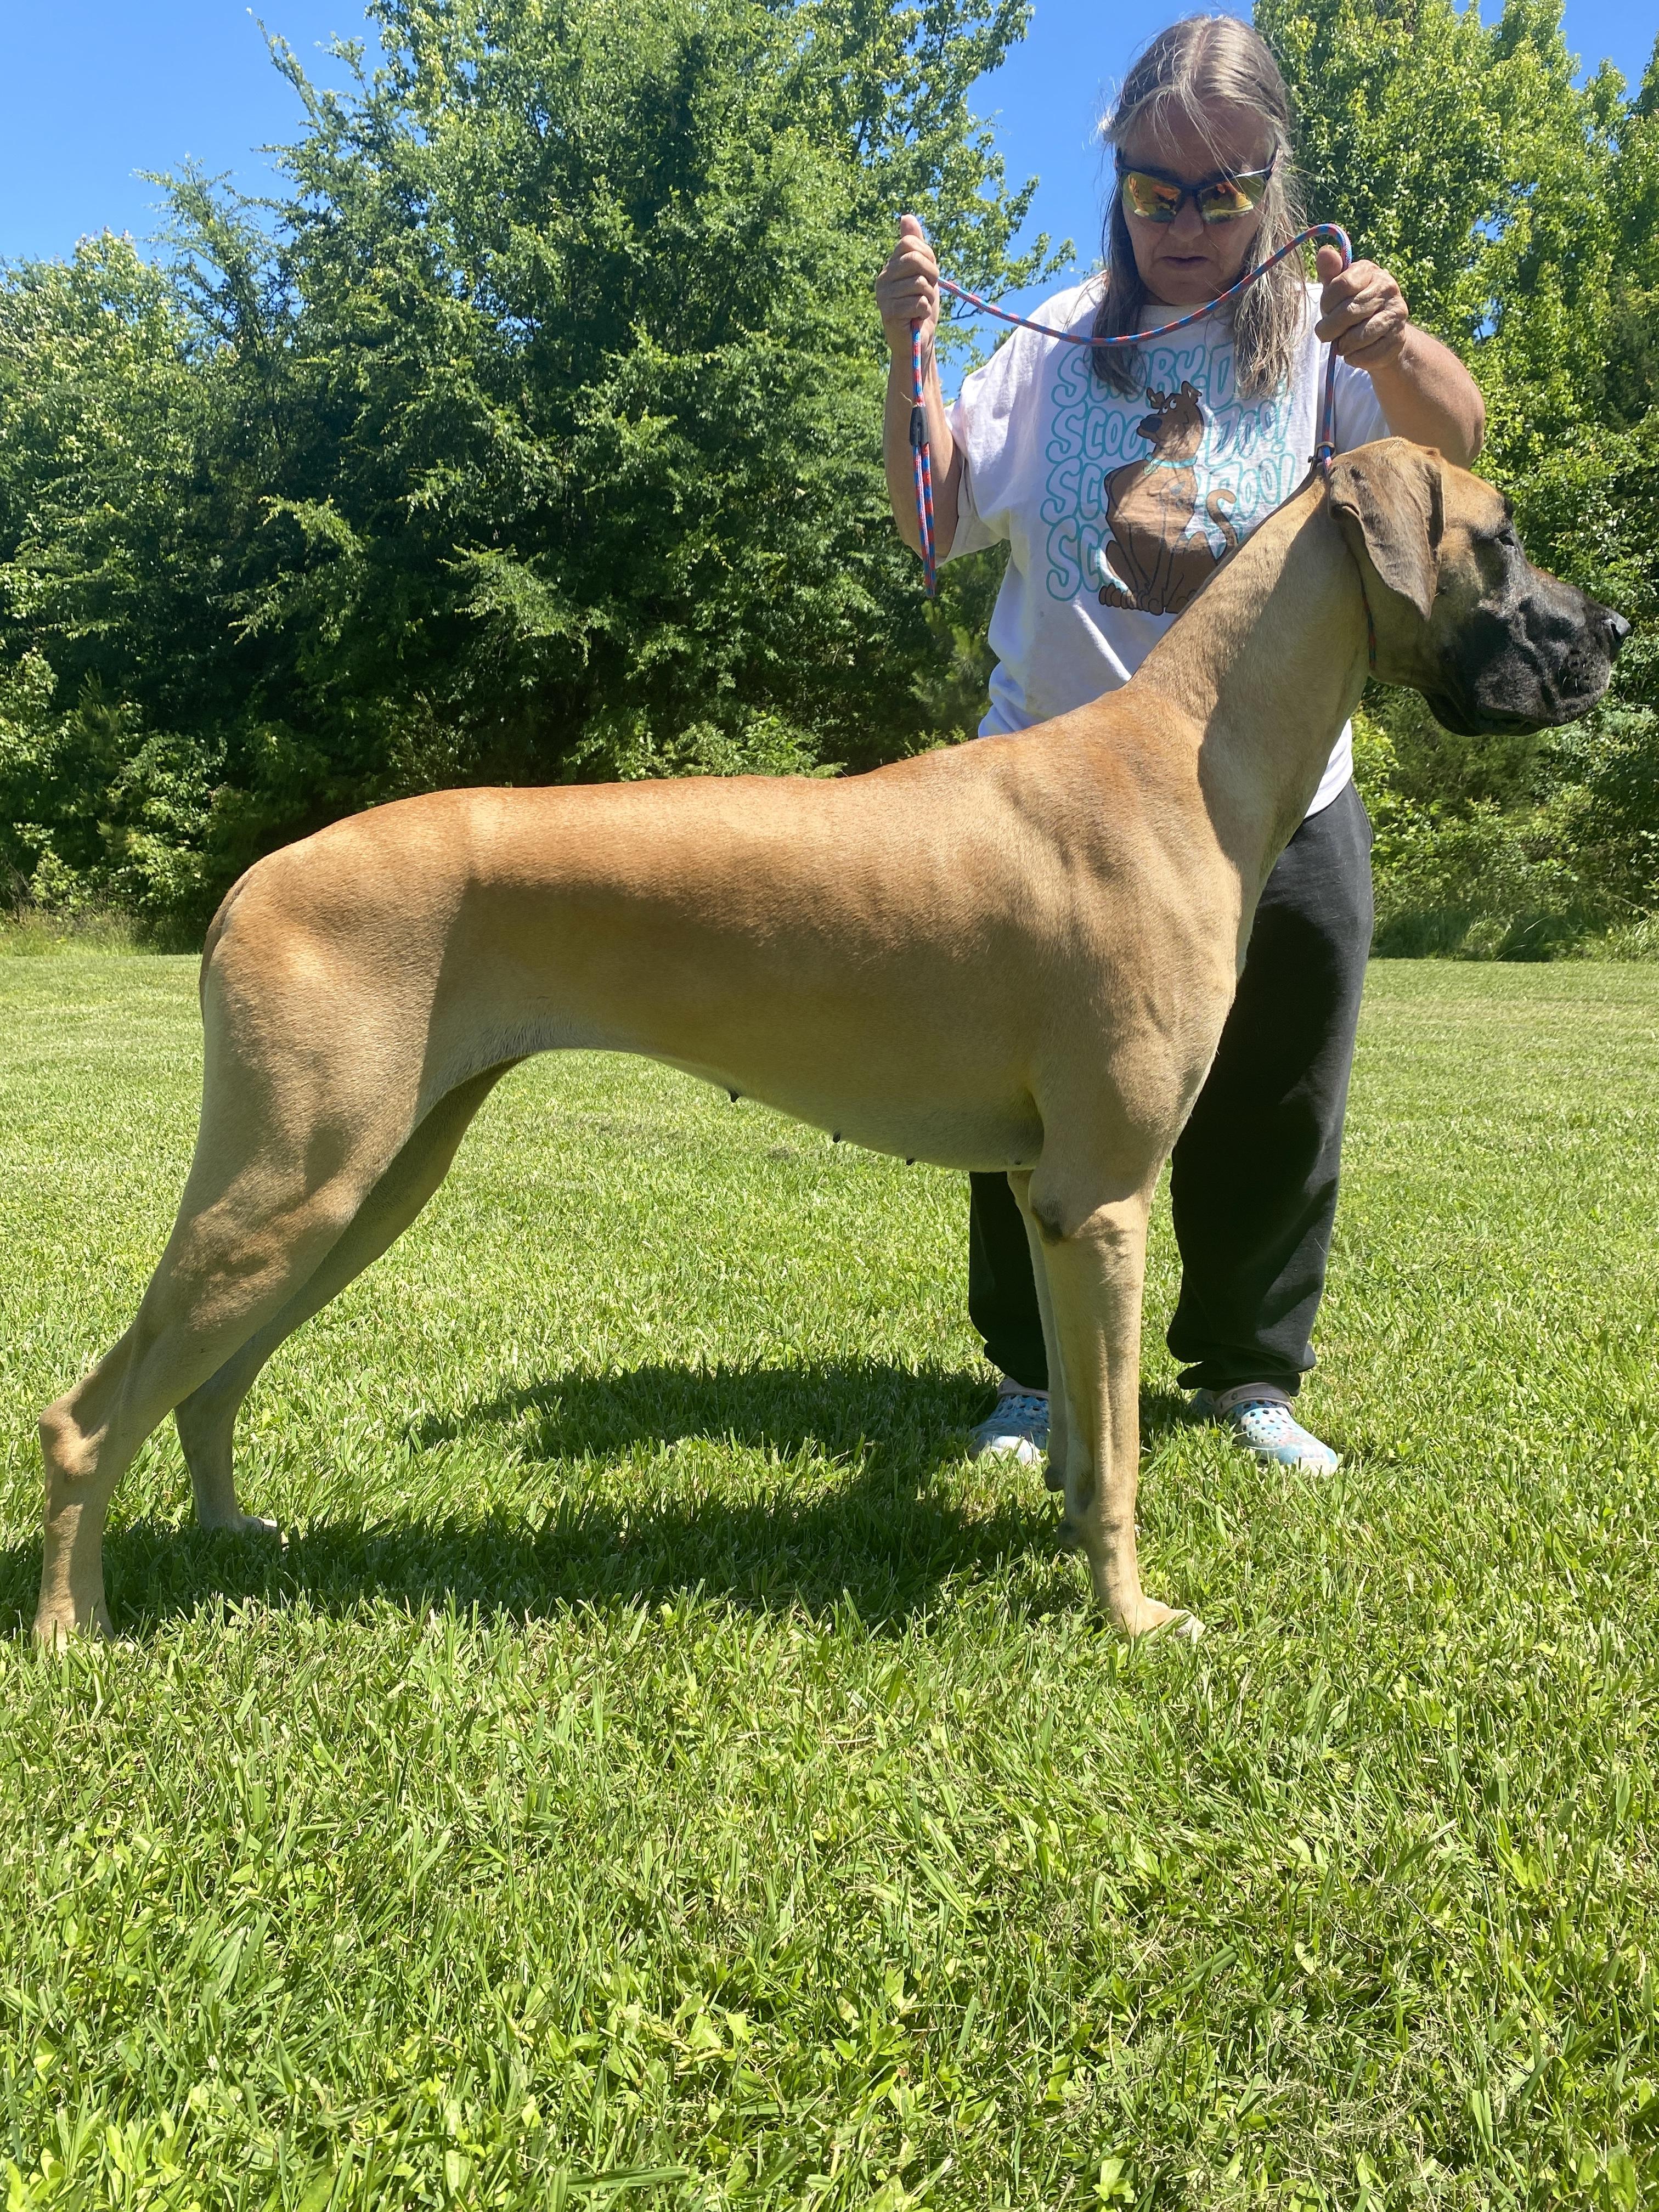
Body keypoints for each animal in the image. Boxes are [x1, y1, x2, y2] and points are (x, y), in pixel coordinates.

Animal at [33, 441, 1628, 1645]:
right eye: (1504, 538)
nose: (1614, 634)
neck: (1182, 760)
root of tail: (253, 881)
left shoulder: (1053, 1205)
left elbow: (1081, 1426)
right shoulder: (1109, 1197)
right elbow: (1116, 1454)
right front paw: (1130, 1617)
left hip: (374, 1178)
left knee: (207, 1384)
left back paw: (232, 1535)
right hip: (298, 1178)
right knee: (91, 1414)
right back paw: (73, 1630)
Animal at [1096, 380, 1239, 617]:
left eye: (1174, 405)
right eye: (1162, 407)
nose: (1149, 422)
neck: (1163, 464)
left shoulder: (1170, 531)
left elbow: (1162, 571)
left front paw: (1153, 600)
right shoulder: (1119, 525)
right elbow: (1137, 575)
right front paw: (1140, 599)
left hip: (1196, 540)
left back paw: (1181, 600)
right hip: (1111, 547)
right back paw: (1119, 596)